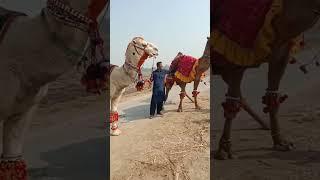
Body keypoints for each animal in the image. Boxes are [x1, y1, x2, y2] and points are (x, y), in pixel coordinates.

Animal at [212, 0, 320, 160]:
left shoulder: (282, 48)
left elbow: (272, 95)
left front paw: (280, 142)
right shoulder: (237, 47)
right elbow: (233, 98)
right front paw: (224, 150)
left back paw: (264, 125)